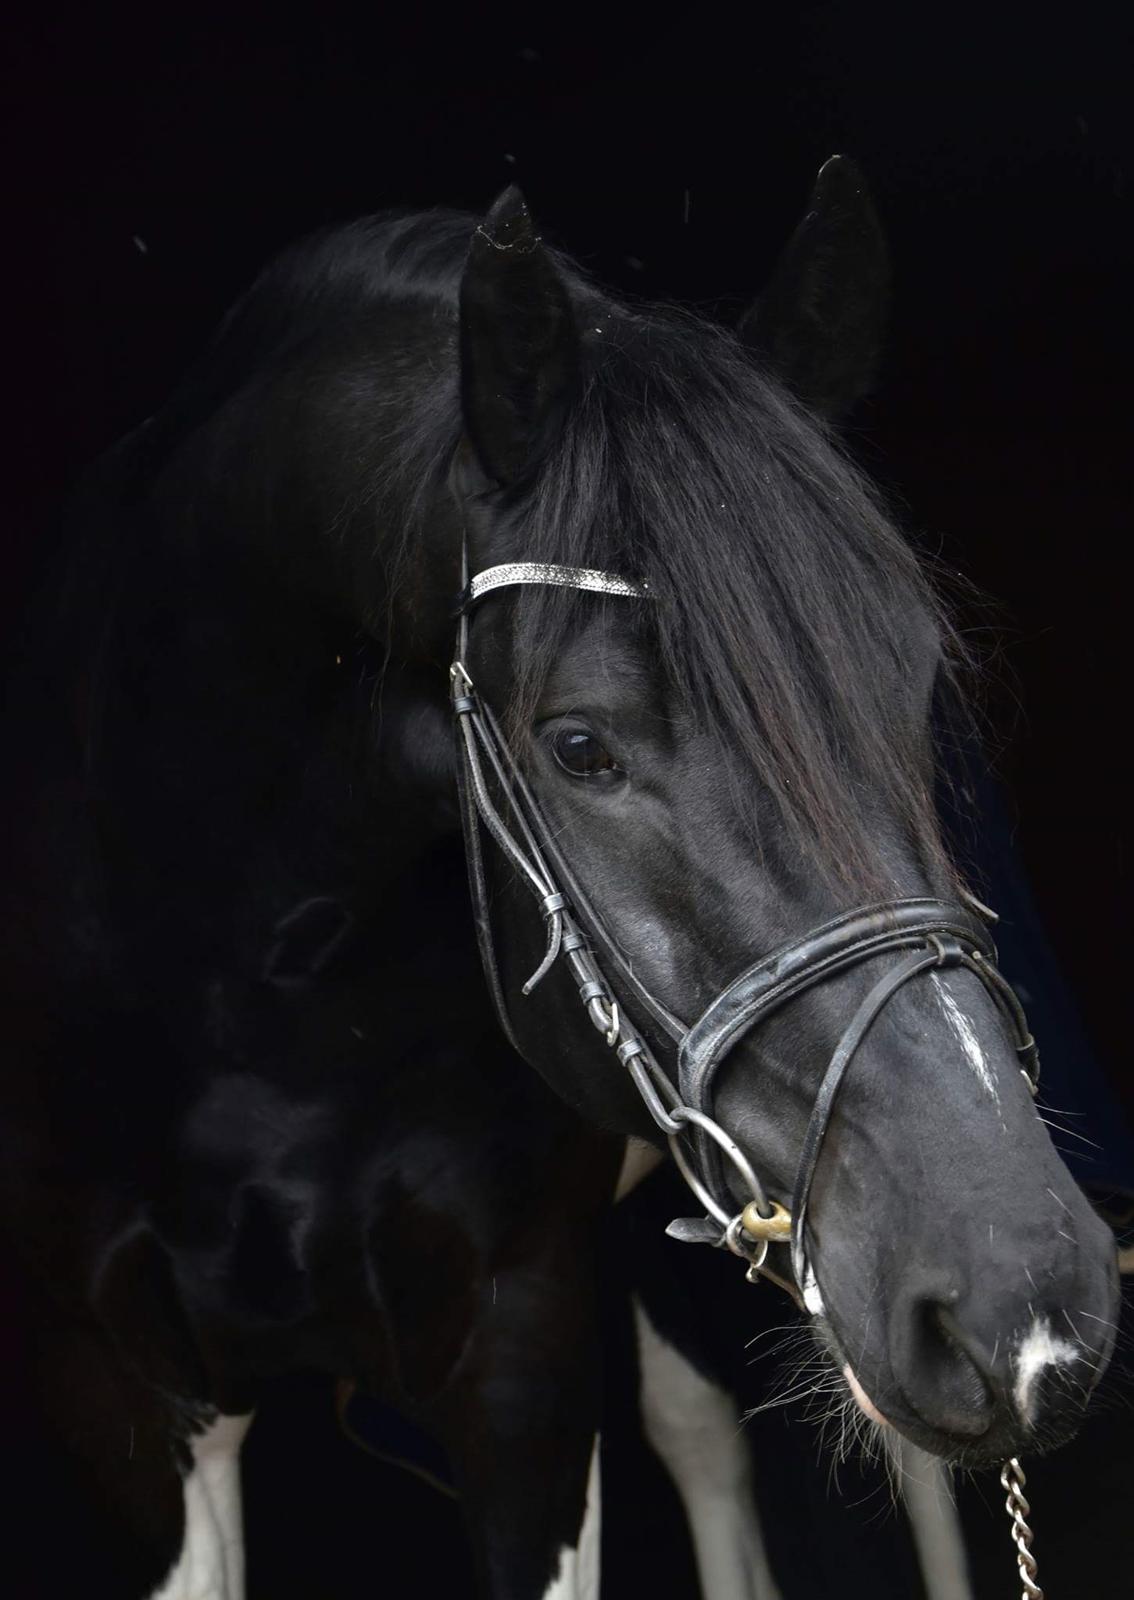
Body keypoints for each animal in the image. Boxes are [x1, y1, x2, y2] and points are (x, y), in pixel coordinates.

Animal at [0, 156, 1120, 1598]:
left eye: (918, 688)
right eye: (579, 746)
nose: (1028, 1300)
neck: (255, 983)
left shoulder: (520, 1357)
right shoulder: (118, 1392)